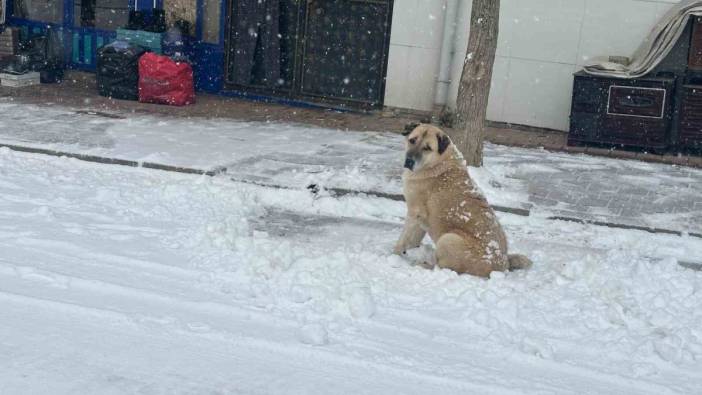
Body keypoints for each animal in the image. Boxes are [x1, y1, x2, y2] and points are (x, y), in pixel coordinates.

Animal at [396, 124, 532, 278]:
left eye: (427, 148)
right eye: (412, 140)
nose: (409, 161)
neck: (438, 162)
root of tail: (502, 265)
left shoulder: (414, 213)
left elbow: (403, 239)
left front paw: (394, 253)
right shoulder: (420, 220)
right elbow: (413, 240)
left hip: (448, 238)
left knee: (443, 268)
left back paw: (423, 264)